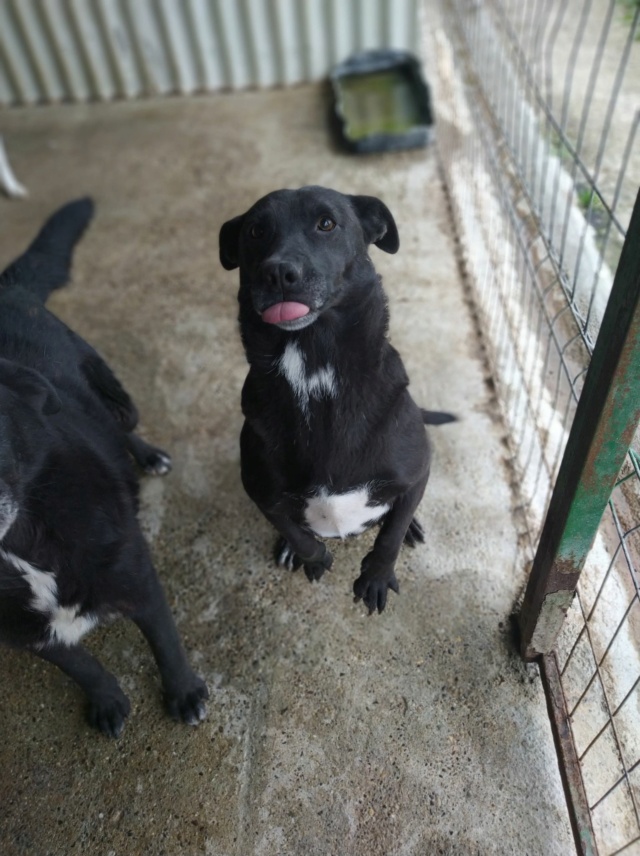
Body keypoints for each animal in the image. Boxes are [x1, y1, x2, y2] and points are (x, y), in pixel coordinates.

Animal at [0, 199, 208, 736]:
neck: (24, 546)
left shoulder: (138, 580)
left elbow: (167, 645)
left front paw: (183, 694)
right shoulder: (27, 634)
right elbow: (81, 664)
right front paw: (107, 699)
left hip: (114, 392)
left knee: (121, 424)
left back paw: (149, 455)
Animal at [220, 187, 456, 616]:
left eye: (326, 223)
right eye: (255, 231)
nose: (278, 273)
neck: (315, 371)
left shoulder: (418, 472)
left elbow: (389, 537)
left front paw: (376, 576)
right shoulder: (260, 492)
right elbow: (295, 530)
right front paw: (311, 557)